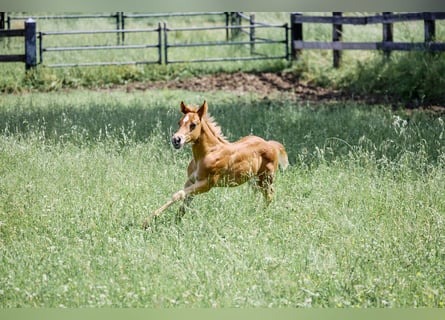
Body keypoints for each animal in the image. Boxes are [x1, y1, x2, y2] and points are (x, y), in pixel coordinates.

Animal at [142, 100, 288, 228]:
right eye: (179, 122)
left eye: (193, 124)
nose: (176, 140)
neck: (205, 155)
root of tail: (270, 144)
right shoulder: (190, 181)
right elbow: (185, 200)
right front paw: (175, 223)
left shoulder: (206, 184)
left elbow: (178, 194)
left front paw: (148, 221)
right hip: (254, 180)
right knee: (260, 194)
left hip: (266, 179)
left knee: (269, 195)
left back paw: (261, 215)